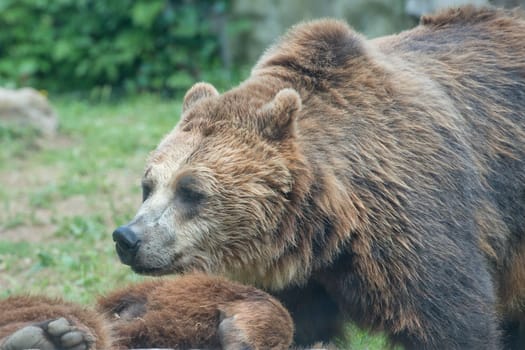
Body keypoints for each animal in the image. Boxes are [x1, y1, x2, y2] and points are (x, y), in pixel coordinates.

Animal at [108, 5, 524, 350]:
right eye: (148, 185)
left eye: (191, 190)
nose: (128, 237)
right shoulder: (295, 279)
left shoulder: (415, 216)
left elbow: (454, 318)